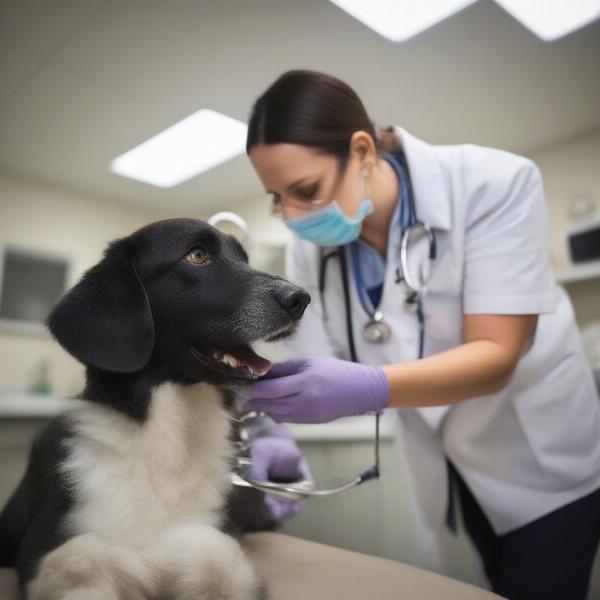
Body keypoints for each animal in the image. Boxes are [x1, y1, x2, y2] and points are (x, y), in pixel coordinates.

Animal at [0, 219, 310, 600]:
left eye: (245, 258)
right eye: (196, 255)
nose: (300, 298)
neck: (166, 434)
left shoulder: (217, 533)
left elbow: (219, 558)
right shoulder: (41, 545)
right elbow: (77, 561)